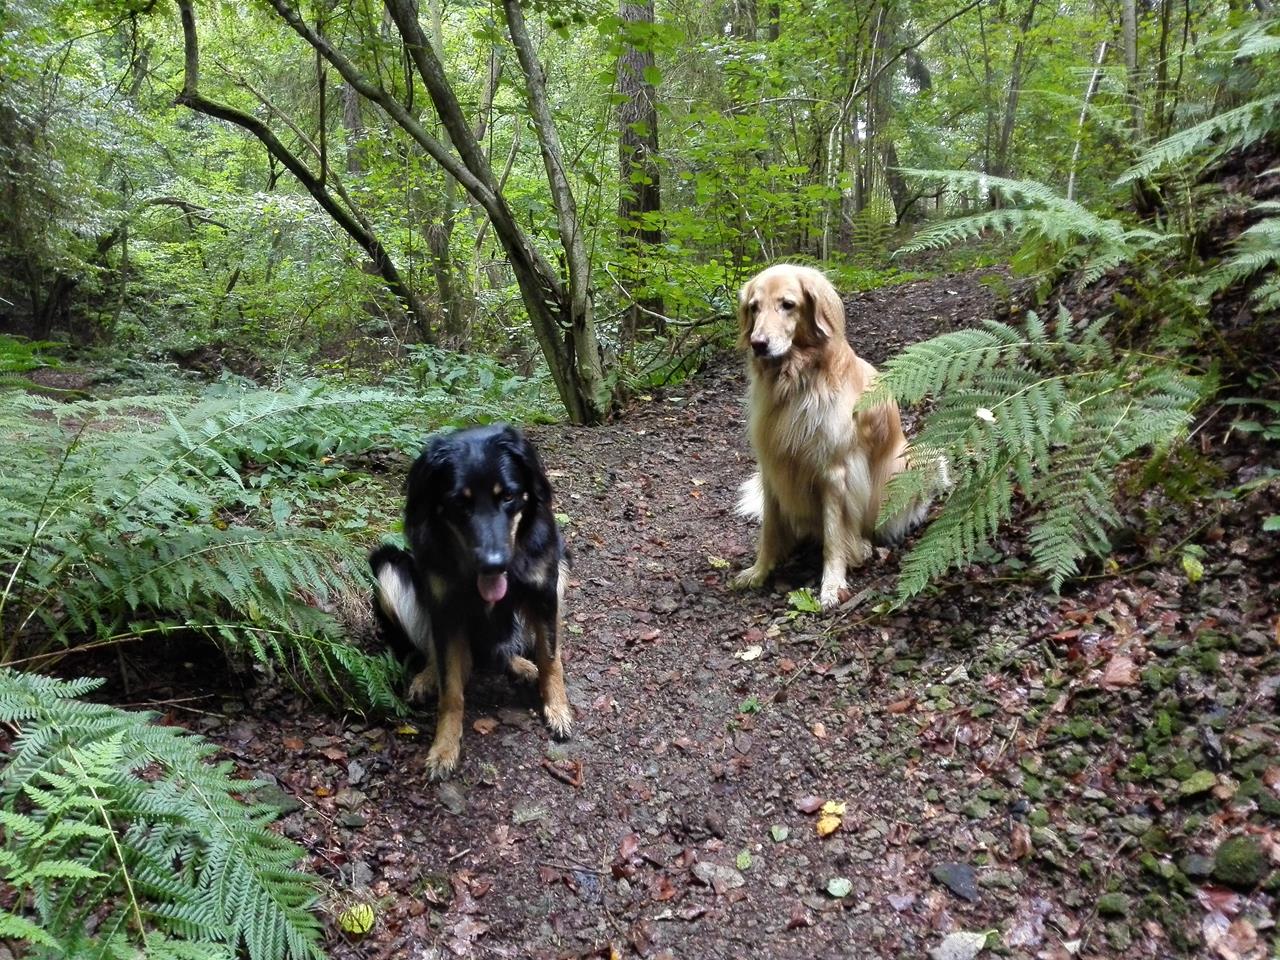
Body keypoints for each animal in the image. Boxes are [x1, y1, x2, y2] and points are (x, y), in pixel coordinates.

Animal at [370, 424, 572, 779]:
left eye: (508, 496)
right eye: (459, 503)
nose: (494, 564)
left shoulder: (545, 590)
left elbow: (551, 659)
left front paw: (557, 709)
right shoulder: (446, 611)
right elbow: (451, 690)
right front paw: (444, 747)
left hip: (561, 565)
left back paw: (520, 664)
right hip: (386, 566)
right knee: (439, 654)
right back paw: (428, 676)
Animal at [731, 264, 938, 609]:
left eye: (788, 304)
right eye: (754, 307)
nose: (758, 344)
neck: (796, 382)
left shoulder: (834, 472)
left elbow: (833, 536)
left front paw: (831, 585)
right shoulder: (773, 467)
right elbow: (770, 530)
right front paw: (759, 571)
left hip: (911, 464)